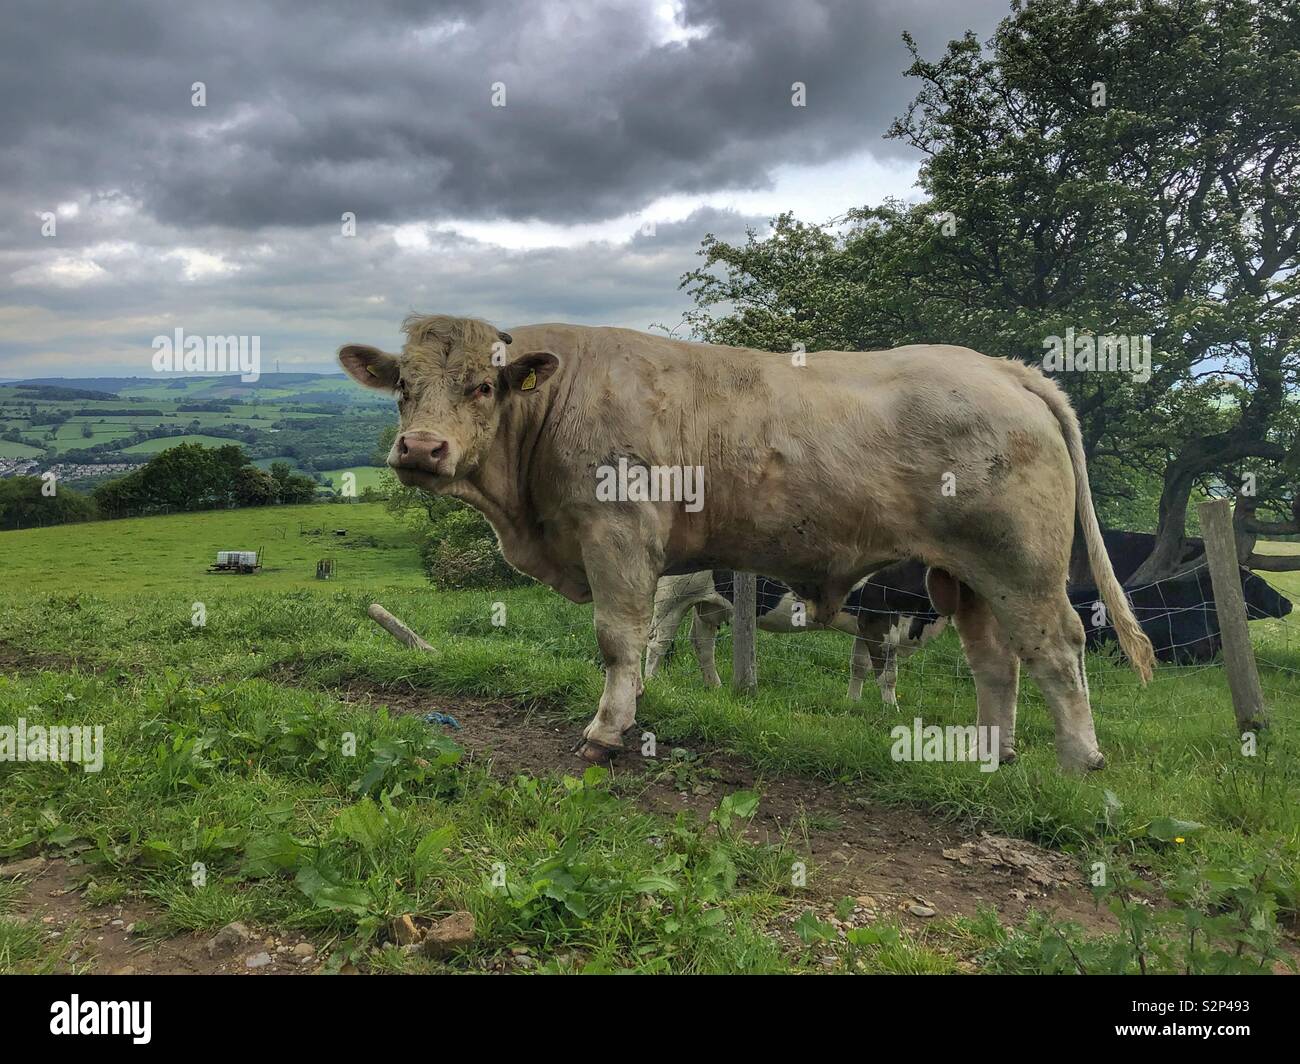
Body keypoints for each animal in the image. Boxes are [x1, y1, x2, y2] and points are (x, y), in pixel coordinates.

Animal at [644, 561, 946, 706]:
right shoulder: (880, 619)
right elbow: (887, 674)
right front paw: (890, 710)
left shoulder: (865, 621)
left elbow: (858, 665)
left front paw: (853, 703)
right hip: (673, 594)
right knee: (658, 640)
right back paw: (651, 682)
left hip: (708, 603)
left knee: (702, 642)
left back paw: (714, 685)